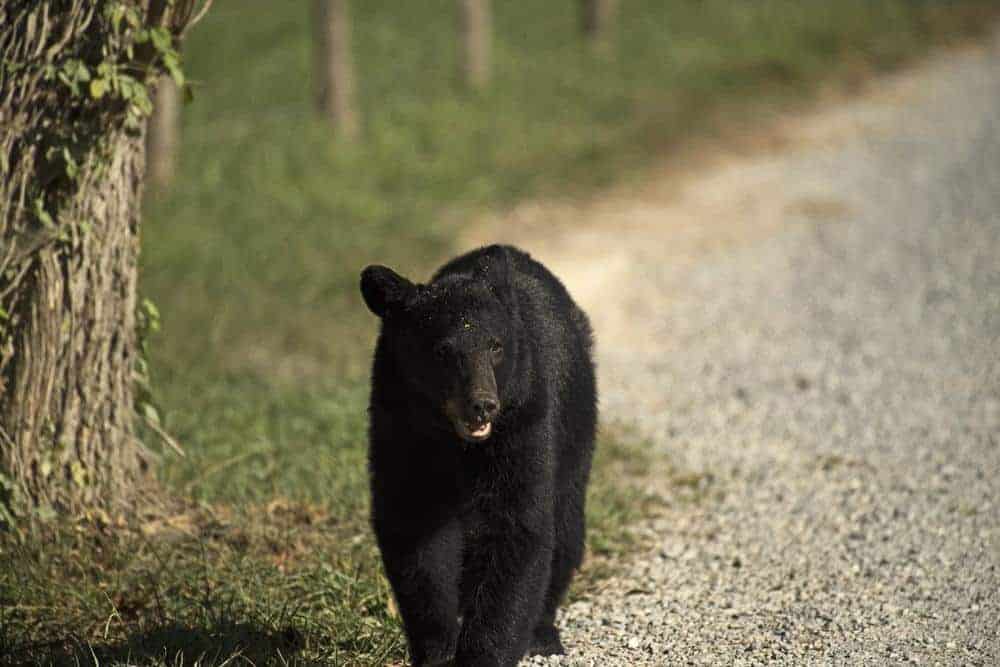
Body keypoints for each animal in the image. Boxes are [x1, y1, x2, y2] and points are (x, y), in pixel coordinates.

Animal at [360, 245, 592, 667]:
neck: (458, 444)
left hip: (575, 432)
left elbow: (518, 528)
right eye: (442, 351)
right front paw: (437, 649)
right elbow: (417, 533)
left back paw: (543, 633)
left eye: (495, 345)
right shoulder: (400, 428)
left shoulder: (523, 419)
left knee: (566, 530)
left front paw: (483, 653)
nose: (482, 405)